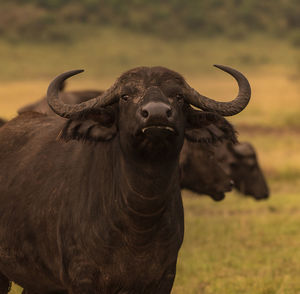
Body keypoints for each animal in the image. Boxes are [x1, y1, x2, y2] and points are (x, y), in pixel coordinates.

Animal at [0, 65, 251, 292]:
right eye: (125, 96)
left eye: (178, 96)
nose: (157, 114)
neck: (139, 222)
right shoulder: (82, 279)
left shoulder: (164, 278)